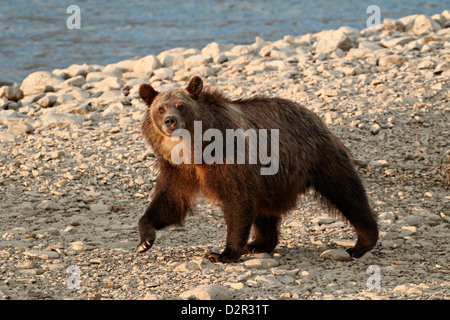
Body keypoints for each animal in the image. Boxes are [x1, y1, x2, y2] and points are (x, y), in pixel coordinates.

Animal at [139, 75, 378, 262]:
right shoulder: (178, 169)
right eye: (160, 108)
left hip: (318, 158)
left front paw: (222, 253)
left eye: (181, 106)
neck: (193, 149)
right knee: (264, 210)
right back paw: (259, 243)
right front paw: (145, 239)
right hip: (271, 177)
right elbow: (171, 200)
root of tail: (314, 115)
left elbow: (236, 200)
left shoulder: (228, 155)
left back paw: (362, 243)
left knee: (347, 194)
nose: (170, 121)